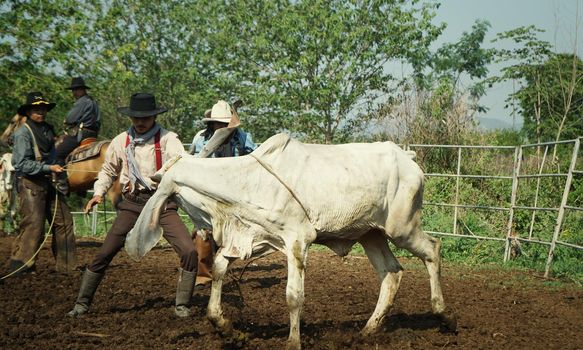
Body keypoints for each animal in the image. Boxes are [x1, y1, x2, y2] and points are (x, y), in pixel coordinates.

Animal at [126, 133, 456, 348]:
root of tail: (407, 158)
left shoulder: (297, 240)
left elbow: (293, 296)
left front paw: (293, 342)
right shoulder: (253, 237)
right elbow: (219, 269)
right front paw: (224, 326)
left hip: (401, 227)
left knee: (432, 250)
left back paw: (443, 315)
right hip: (371, 234)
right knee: (391, 273)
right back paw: (368, 330)